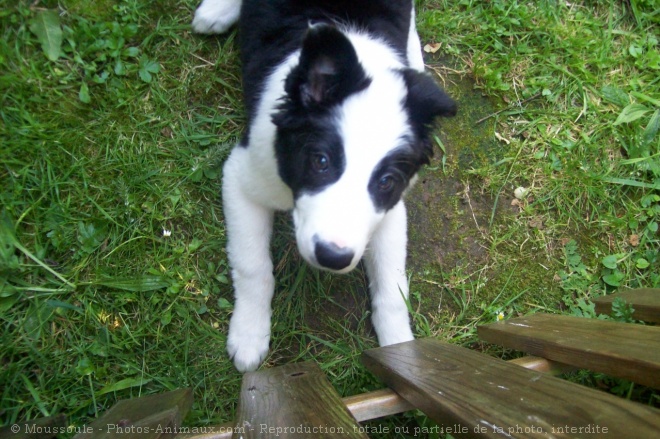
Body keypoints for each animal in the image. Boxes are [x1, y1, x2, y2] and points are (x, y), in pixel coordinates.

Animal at [193, 0, 456, 372]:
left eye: (386, 181)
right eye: (320, 161)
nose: (332, 257)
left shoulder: (390, 212)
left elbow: (392, 287)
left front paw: (401, 353)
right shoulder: (242, 177)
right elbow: (252, 265)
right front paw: (248, 334)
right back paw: (216, 11)